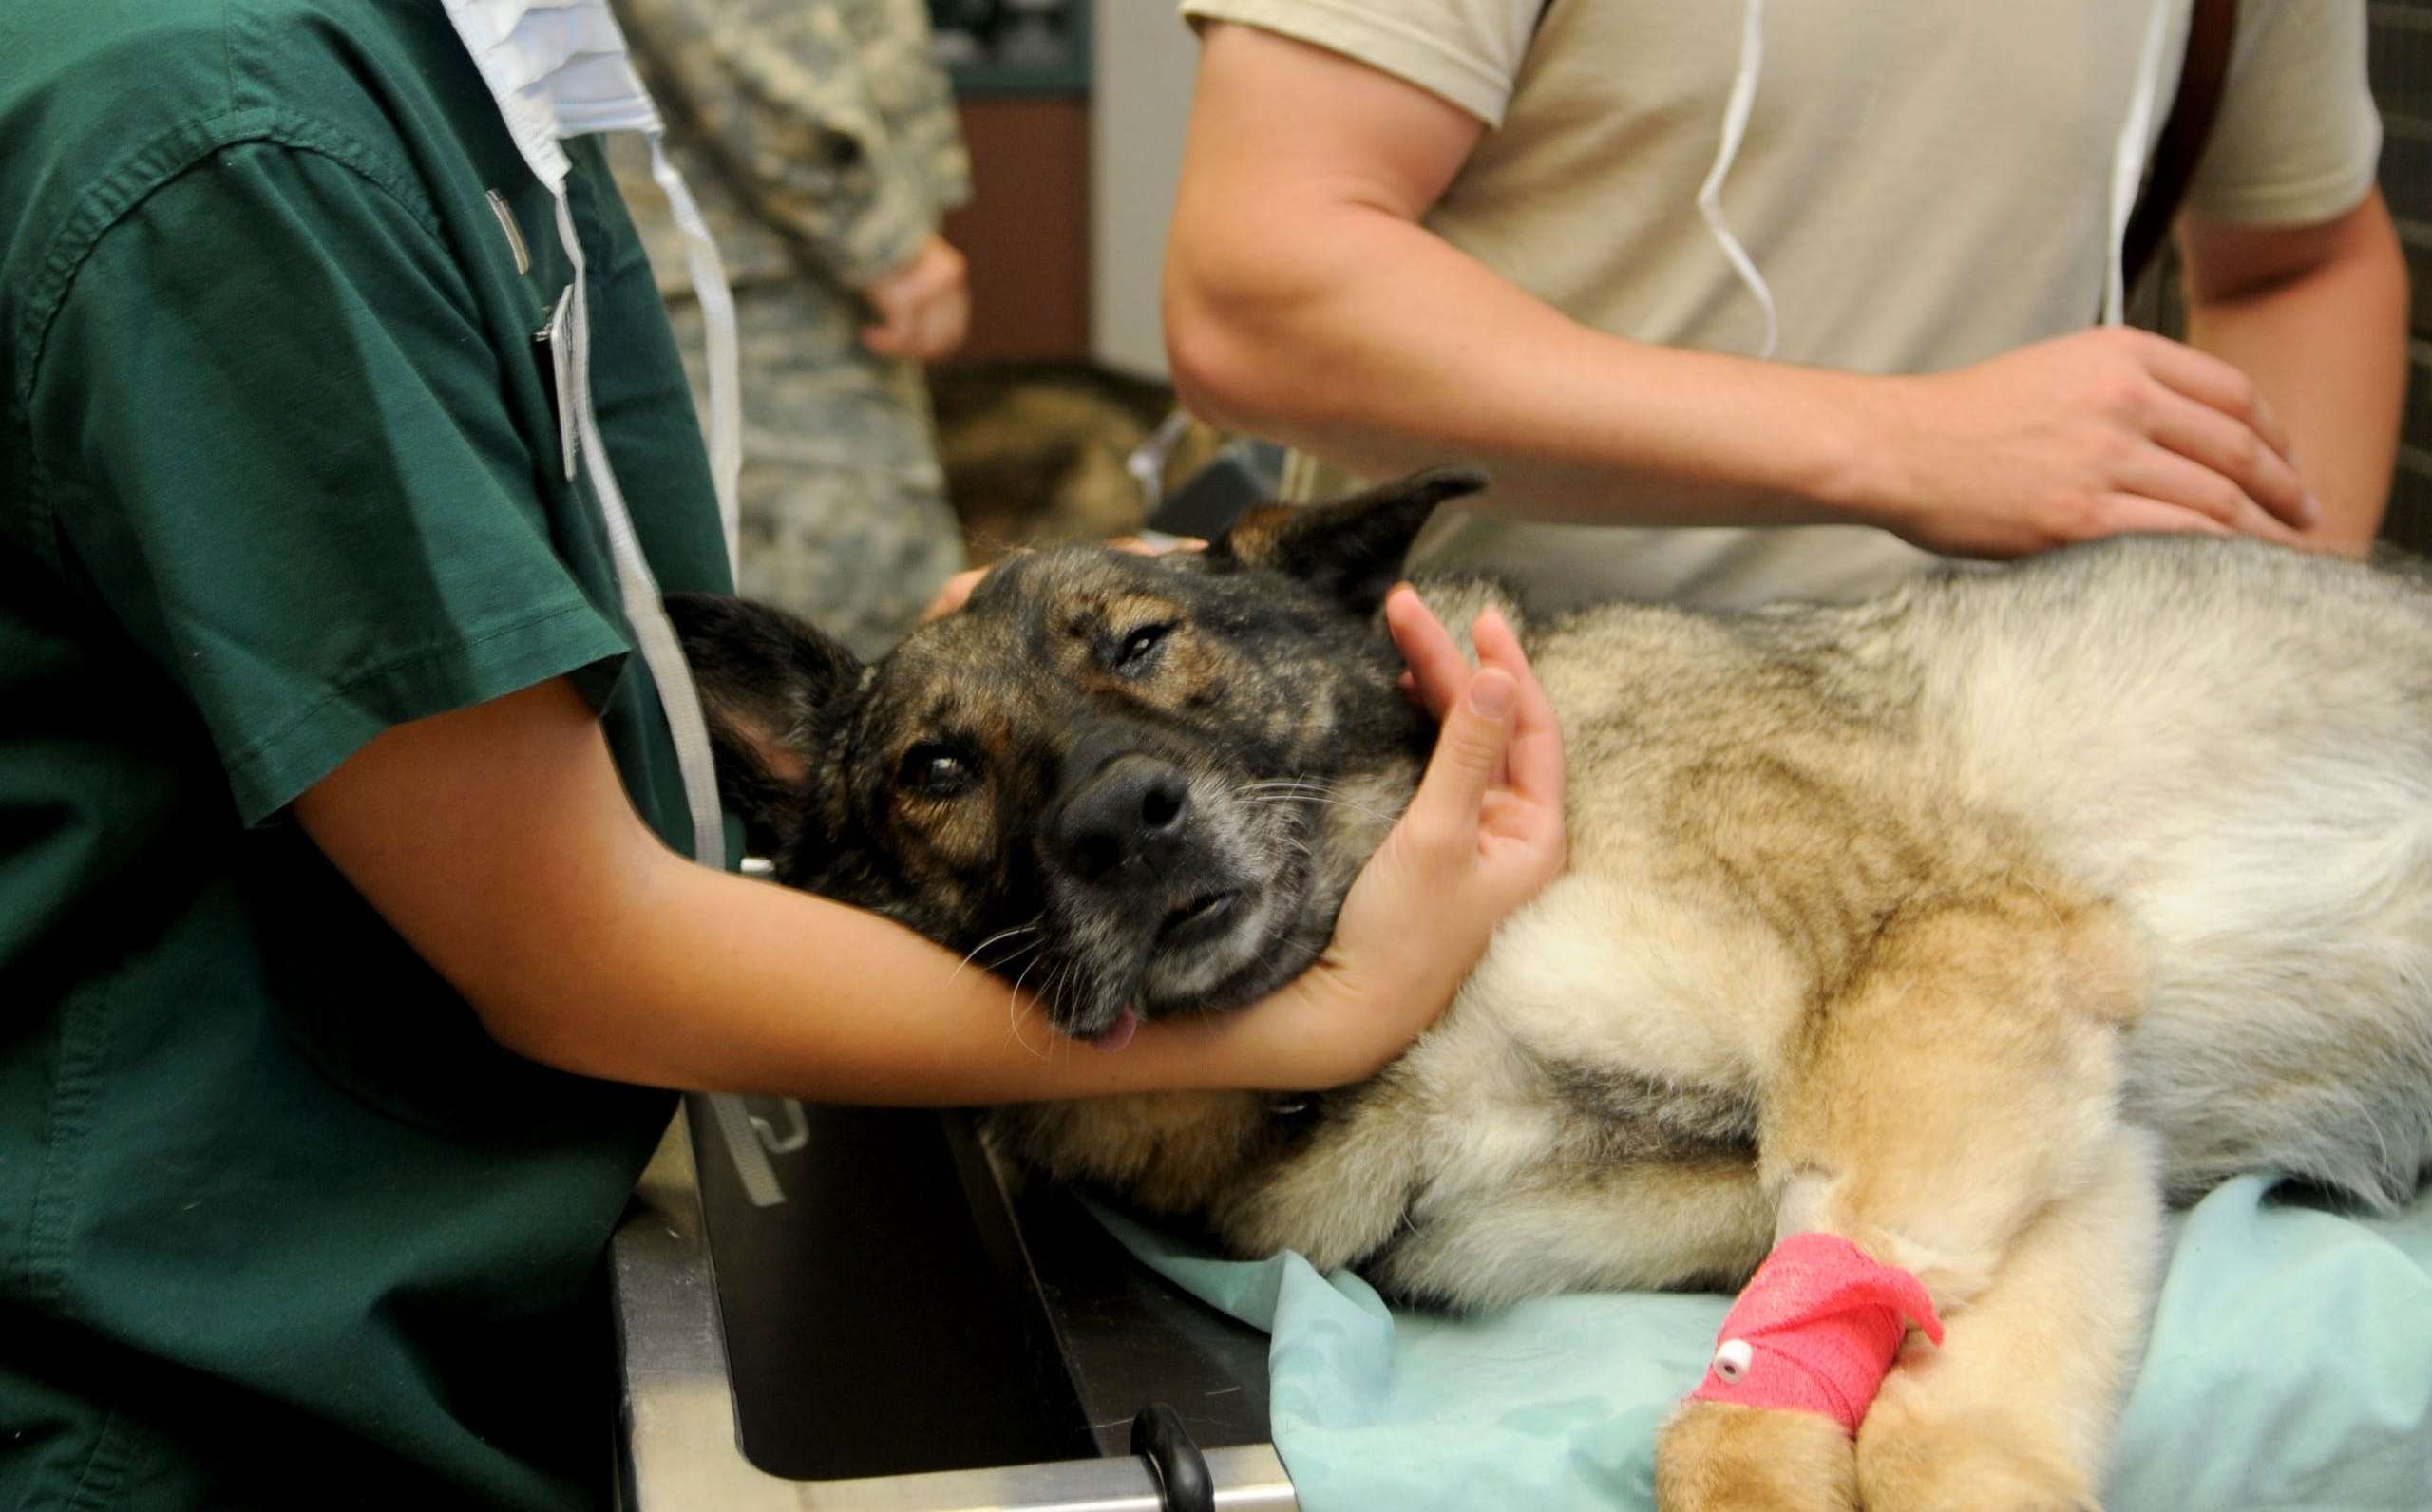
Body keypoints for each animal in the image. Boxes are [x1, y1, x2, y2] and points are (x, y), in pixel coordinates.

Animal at [666, 474, 2432, 1512]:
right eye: (936, 770)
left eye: (1147, 641)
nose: (1120, 822)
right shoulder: (2058, 1138)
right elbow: (1929, 1403)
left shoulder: (1946, 980)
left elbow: (1801, 1390)